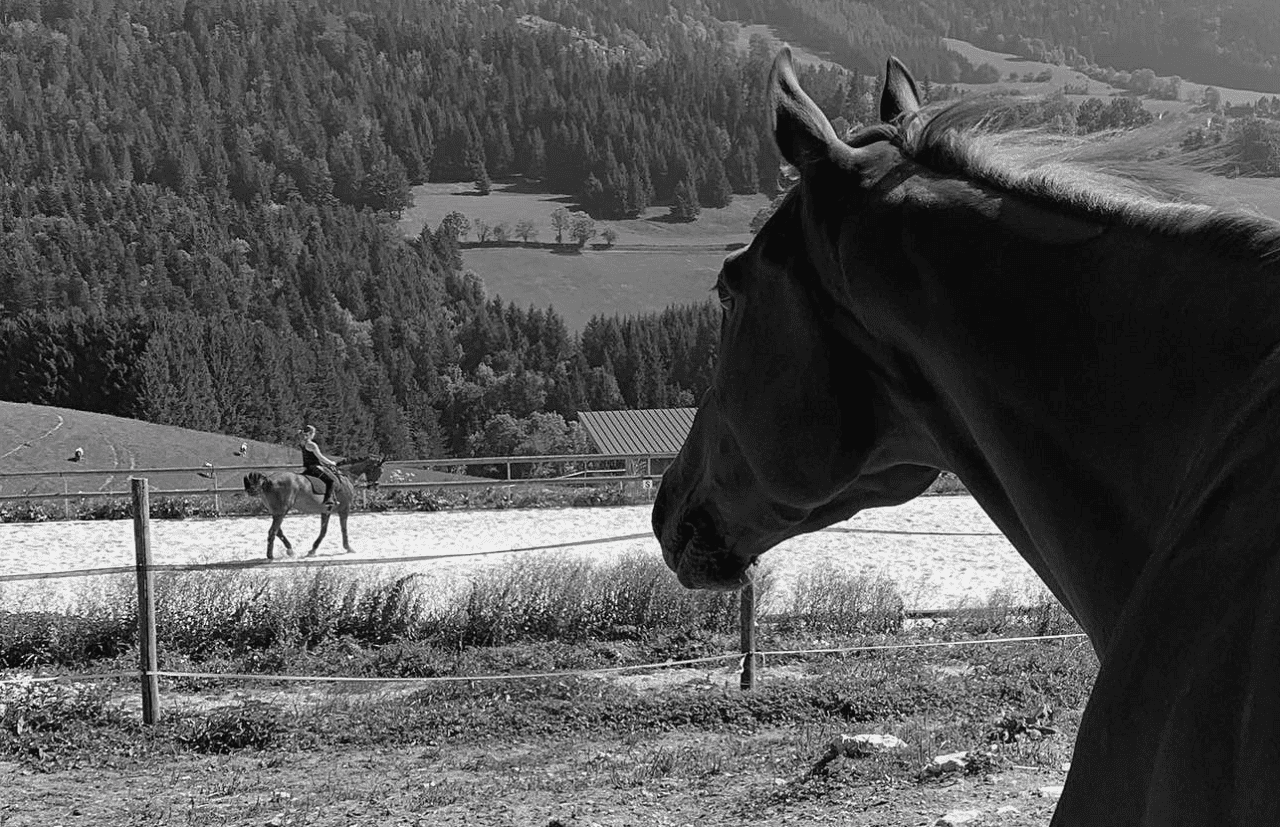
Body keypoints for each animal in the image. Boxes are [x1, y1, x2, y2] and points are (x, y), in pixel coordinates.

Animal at [243, 455, 384, 560]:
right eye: (380, 471)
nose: (375, 486)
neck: (345, 476)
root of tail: (268, 479)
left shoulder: (326, 511)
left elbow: (323, 531)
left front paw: (313, 550)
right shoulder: (344, 509)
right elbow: (343, 529)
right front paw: (348, 548)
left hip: (277, 512)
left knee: (278, 531)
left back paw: (290, 550)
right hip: (281, 512)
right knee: (273, 531)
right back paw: (271, 556)